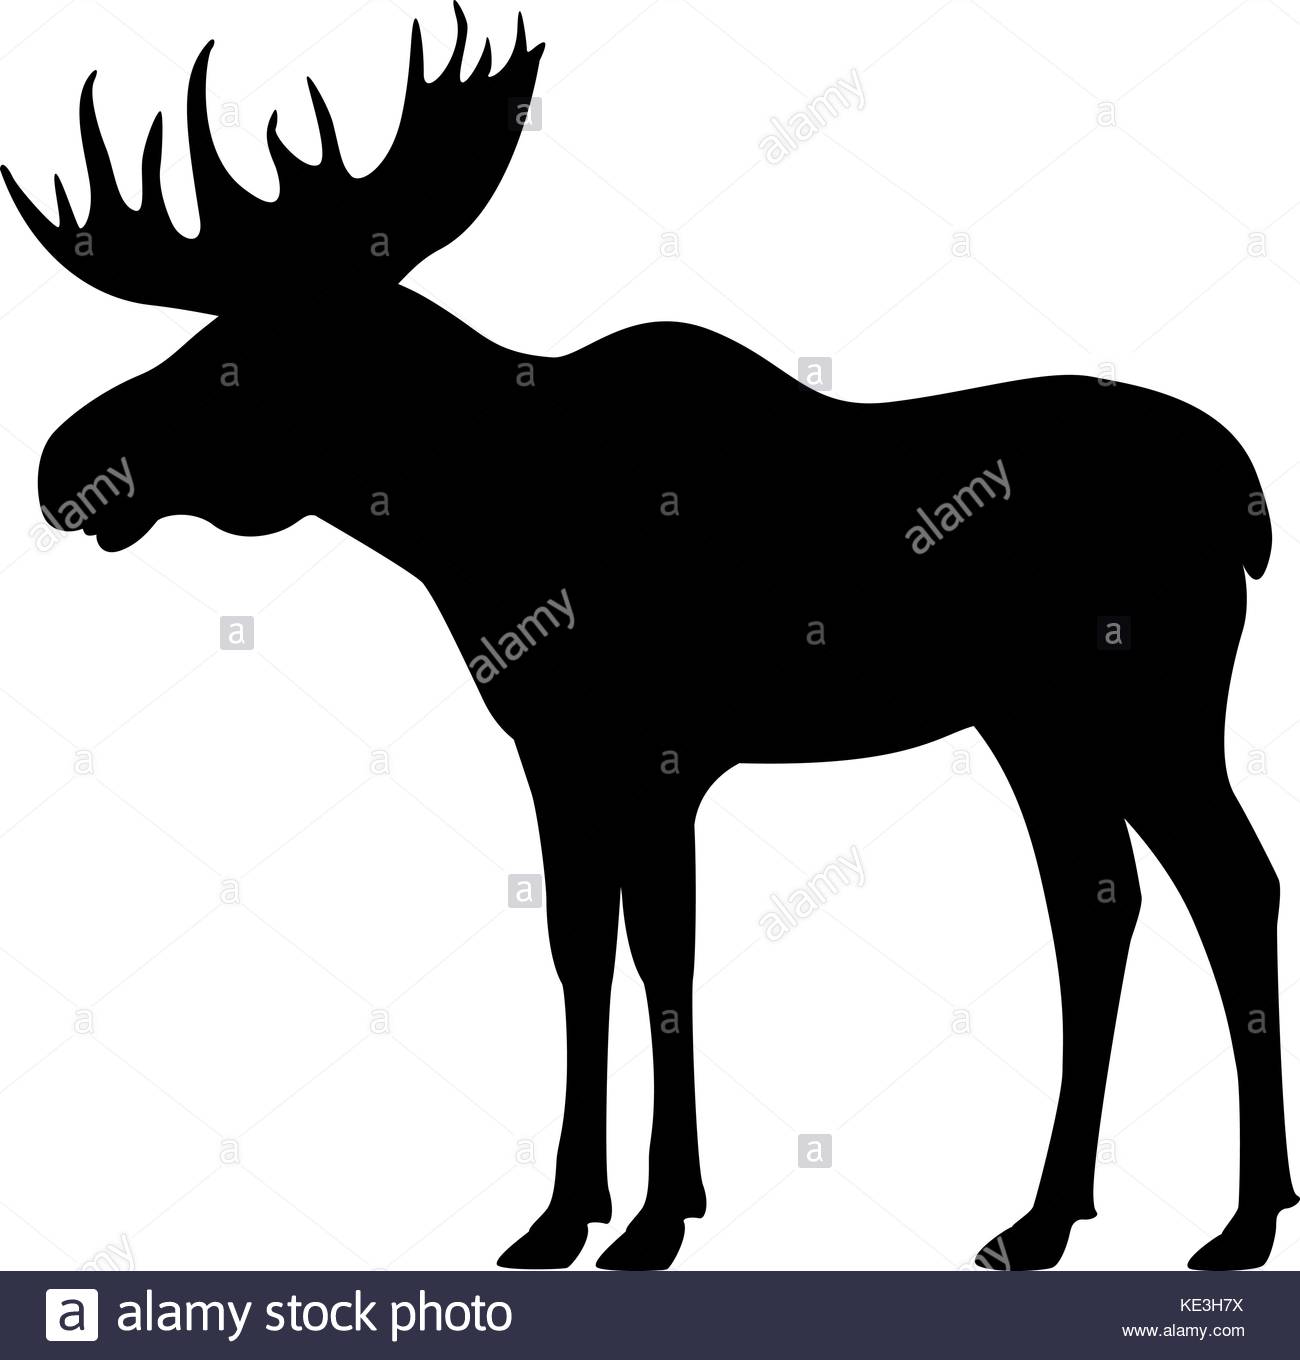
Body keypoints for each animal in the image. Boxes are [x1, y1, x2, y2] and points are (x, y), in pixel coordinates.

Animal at [4, 4, 1295, 1272]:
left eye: (234, 357)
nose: (64, 462)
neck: (473, 528)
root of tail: (1246, 502)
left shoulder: (660, 749)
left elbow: (662, 949)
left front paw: (659, 1215)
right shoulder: (557, 748)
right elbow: (580, 946)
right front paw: (561, 1214)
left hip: (1145, 705)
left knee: (1231, 881)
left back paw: (1240, 1218)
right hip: (1035, 723)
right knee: (1099, 901)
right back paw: (1047, 1216)